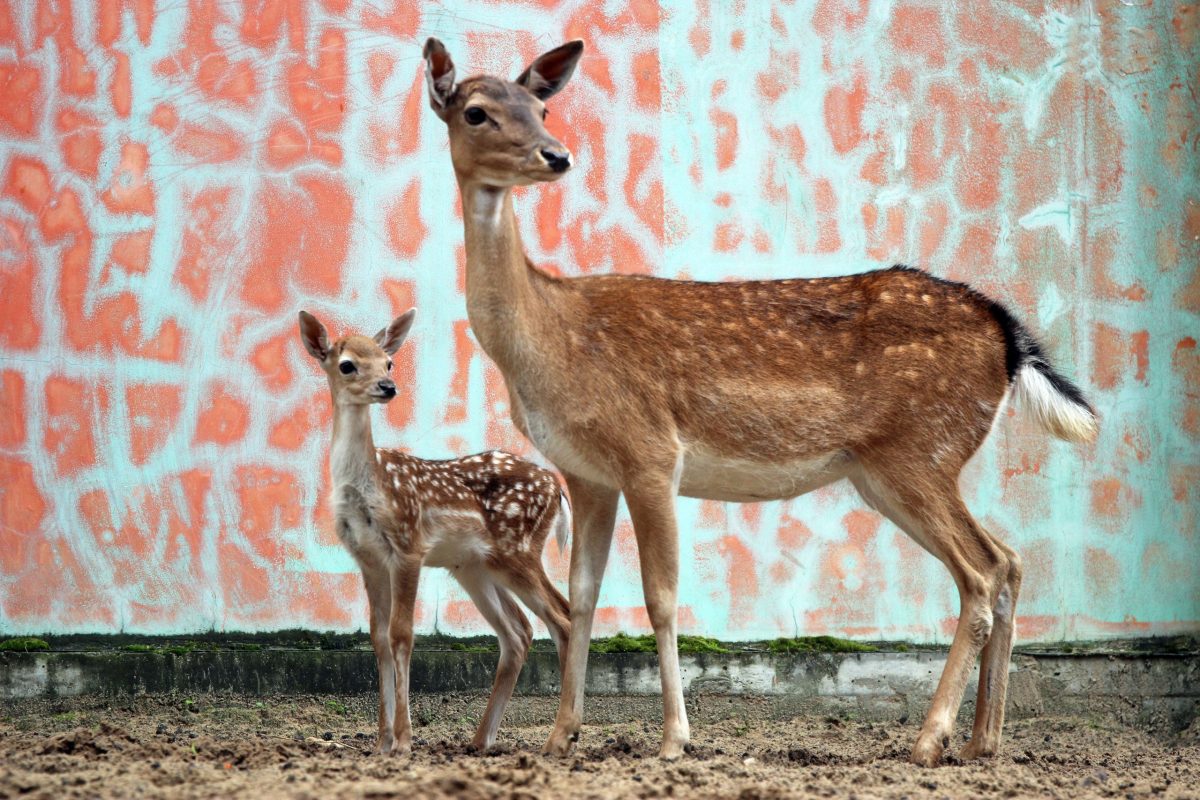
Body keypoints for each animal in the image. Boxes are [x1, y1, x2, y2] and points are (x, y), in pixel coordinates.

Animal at [298, 309, 571, 758]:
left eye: (389, 362)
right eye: (347, 365)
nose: (388, 387)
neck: (368, 486)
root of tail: (557, 486)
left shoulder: (409, 546)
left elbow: (402, 634)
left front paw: (404, 741)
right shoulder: (368, 559)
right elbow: (377, 636)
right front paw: (381, 742)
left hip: (519, 549)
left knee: (562, 617)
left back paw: (560, 737)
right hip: (475, 567)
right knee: (518, 632)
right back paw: (480, 741)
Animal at [422, 38, 1099, 767]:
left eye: (542, 107)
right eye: (477, 111)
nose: (557, 155)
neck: (549, 340)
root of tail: (1007, 334)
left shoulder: (650, 451)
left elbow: (661, 597)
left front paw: (674, 739)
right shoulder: (587, 473)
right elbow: (581, 597)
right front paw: (559, 736)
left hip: (919, 451)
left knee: (980, 573)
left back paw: (928, 739)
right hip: (892, 469)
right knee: (1009, 560)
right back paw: (981, 742)